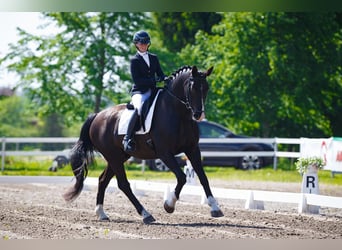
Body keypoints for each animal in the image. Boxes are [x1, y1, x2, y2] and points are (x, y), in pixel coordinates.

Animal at [63, 65, 224, 224]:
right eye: (192, 87)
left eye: (206, 88)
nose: (198, 115)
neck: (178, 113)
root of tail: (97, 116)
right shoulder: (164, 153)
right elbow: (182, 177)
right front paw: (169, 205)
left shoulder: (192, 149)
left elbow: (203, 177)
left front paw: (215, 207)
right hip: (113, 157)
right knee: (123, 184)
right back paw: (146, 214)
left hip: (119, 157)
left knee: (103, 180)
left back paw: (101, 213)